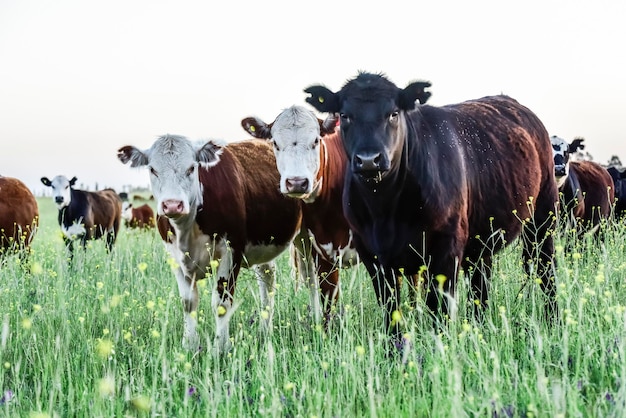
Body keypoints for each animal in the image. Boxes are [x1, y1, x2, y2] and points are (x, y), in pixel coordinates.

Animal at [118, 134, 304, 352]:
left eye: (192, 168)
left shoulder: (231, 251)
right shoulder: (175, 258)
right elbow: (188, 302)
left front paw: (220, 348)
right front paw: (189, 345)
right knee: (267, 278)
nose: (172, 204)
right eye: (153, 169)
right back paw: (264, 330)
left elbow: (222, 303)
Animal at [302, 72, 556, 350]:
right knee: (481, 285)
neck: (385, 211)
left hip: (543, 218)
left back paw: (552, 321)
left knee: (545, 269)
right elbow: (390, 309)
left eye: (393, 113)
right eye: (345, 115)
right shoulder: (372, 254)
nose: (369, 160)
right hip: (481, 241)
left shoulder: (446, 247)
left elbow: (439, 309)